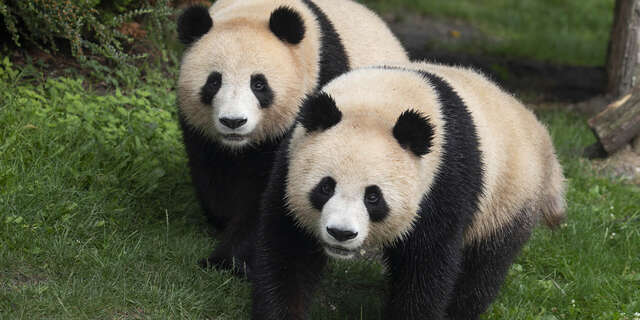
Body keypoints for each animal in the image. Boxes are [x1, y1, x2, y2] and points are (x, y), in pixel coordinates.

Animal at [175, 0, 408, 276]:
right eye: (213, 82)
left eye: (259, 84)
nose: (234, 122)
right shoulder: (201, 132)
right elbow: (213, 174)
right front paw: (221, 223)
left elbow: (269, 196)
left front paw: (227, 260)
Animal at [250, 61, 564, 318]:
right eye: (325, 187)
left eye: (373, 197)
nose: (341, 233)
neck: (378, 101)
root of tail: (540, 133)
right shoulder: (289, 160)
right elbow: (288, 250)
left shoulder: (443, 181)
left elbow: (426, 267)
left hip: (507, 197)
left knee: (483, 267)